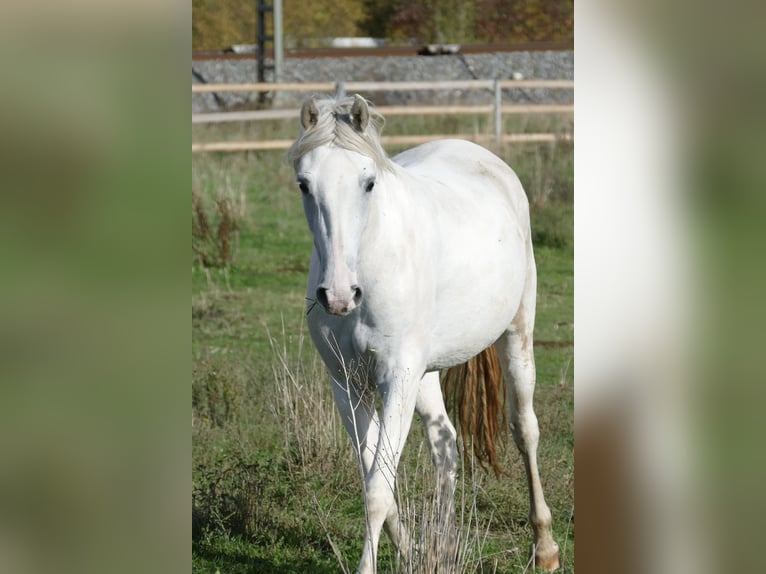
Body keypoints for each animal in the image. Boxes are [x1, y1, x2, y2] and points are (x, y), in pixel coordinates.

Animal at [288, 95, 564, 574]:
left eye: (368, 183)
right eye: (305, 184)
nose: (339, 295)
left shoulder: (396, 377)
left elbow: (378, 490)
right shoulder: (347, 384)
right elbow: (374, 480)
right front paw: (411, 551)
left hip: (516, 335)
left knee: (524, 429)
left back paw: (544, 548)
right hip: (424, 373)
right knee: (446, 443)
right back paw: (441, 546)